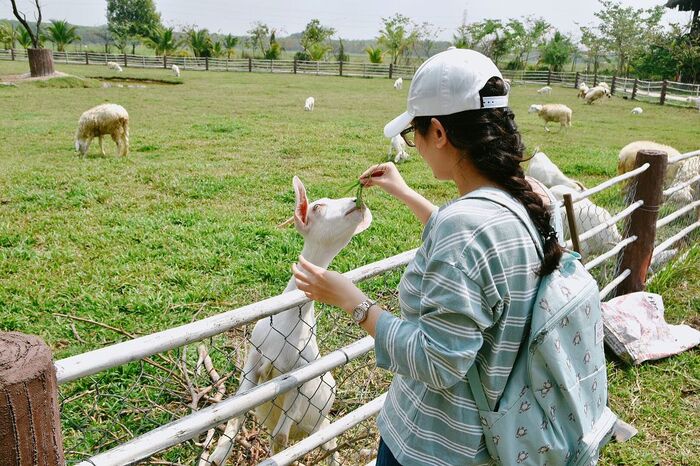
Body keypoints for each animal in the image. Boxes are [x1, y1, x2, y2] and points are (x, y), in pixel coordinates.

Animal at [204, 176, 372, 466]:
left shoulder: (301, 376)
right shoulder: (254, 358)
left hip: (321, 423)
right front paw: (217, 455)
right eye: (317, 206)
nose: (356, 201)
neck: (287, 322)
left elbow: (280, 439)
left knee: (329, 441)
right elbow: (238, 410)